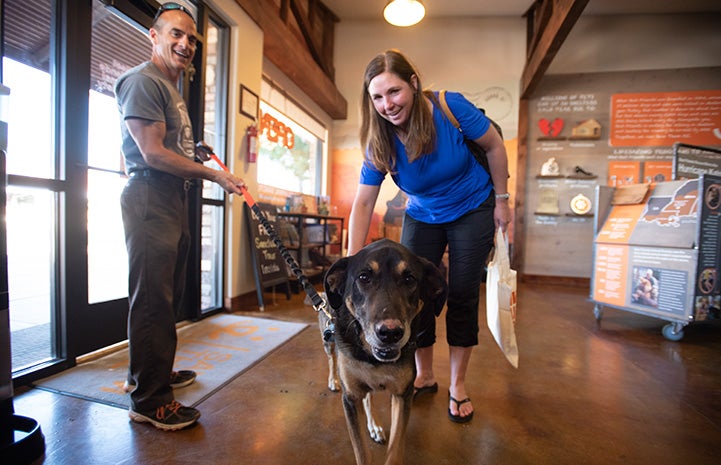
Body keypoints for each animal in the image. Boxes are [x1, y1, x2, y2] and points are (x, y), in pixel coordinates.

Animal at [320, 239, 444, 464]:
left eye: (409, 278)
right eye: (364, 277)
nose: (390, 333)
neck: (372, 357)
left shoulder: (402, 395)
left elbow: (396, 447)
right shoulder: (350, 399)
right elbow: (361, 451)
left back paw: (374, 425)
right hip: (329, 340)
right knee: (332, 359)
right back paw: (333, 380)